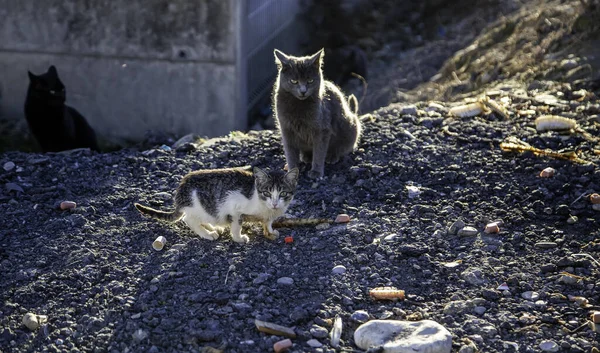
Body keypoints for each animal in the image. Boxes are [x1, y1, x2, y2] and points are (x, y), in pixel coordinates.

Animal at [134, 167, 298, 243]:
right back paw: (208, 234)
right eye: (267, 193)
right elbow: (237, 225)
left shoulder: (270, 214)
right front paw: (239, 238)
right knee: (189, 219)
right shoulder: (235, 207)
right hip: (200, 206)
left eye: (283, 193)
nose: (275, 203)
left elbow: (268, 222)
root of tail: (181, 191)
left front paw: (270, 231)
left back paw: (213, 228)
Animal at [272, 47, 360, 177]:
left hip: (349, 125)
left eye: (310, 80)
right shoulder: (286, 129)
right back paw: (306, 157)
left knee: (343, 147)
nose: (303, 91)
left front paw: (316, 172)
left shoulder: (322, 130)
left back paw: (332, 156)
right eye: (293, 81)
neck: (299, 106)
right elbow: (290, 152)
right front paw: (292, 170)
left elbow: (319, 151)